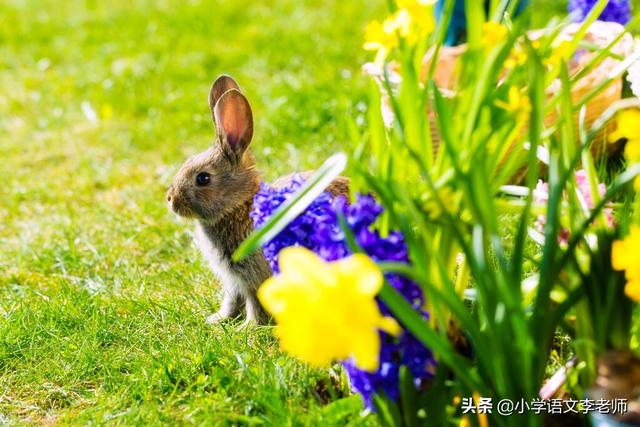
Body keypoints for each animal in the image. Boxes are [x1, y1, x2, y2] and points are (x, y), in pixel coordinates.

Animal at [165, 75, 344, 326]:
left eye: (203, 178)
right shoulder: (233, 280)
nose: (170, 199)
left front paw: (247, 328)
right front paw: (217, 320)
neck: (237, 206)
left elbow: (255, 304)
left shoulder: (256, 275)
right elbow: (232, 300)